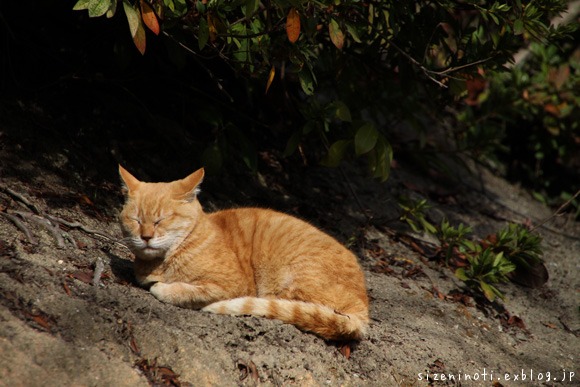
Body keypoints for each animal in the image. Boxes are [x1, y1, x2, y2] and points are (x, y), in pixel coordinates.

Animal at [119, 165, 370, 342]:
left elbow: (184, 292)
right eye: (136, 220)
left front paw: (164, 288)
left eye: (161, 220)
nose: (146, 237)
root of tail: (363, 302)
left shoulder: (232, 285)